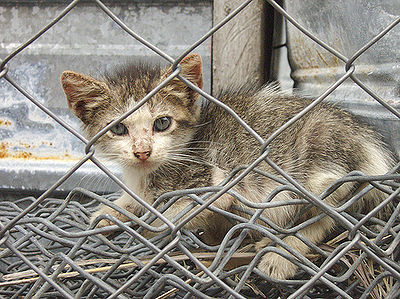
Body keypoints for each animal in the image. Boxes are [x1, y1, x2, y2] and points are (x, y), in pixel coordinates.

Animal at [61, 54, 394, 282]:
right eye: (119, 129)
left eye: (162, 123)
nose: (142, 152)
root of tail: (366, 140)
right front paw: (109, 212)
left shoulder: (214, 181)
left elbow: (170, 217)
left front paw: (151, 224)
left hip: (321, 165)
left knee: (326, 210)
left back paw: (281, 252)